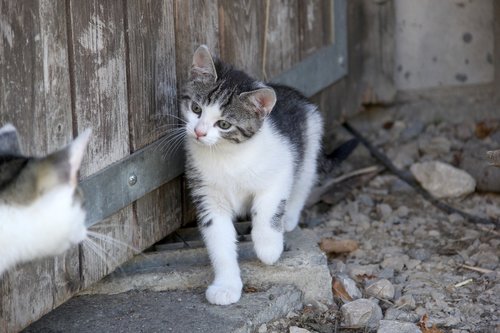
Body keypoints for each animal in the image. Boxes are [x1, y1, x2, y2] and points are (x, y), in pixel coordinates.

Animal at [180, 45, 324, 304]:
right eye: (196, 109)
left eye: (224, 124)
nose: (199, 132)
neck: (227, 156)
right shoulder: (208, 195)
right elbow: (219, 240)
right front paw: (226, 286)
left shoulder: (281, 170)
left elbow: (267, 209)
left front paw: (269, 248)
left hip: (311, 138)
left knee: (303, 182)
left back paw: (288, 219)